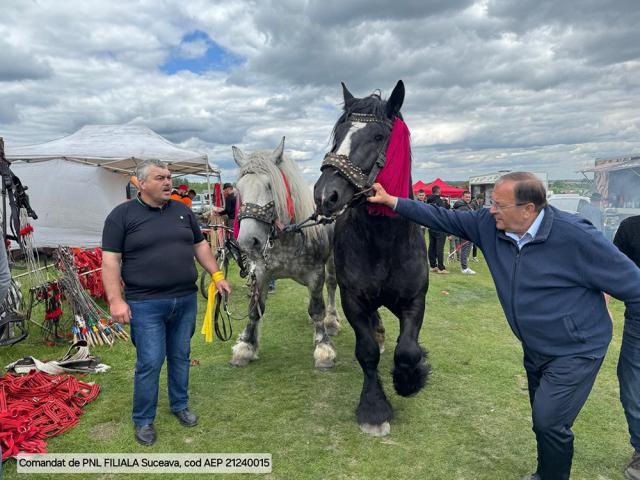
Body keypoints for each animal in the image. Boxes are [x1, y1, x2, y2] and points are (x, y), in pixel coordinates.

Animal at [230, 137, 340, 370]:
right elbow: (254, 309)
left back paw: (331, 321)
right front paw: (246, 346)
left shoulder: (316, 273)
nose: (247, 241)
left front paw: (324, 348)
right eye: (238, 189)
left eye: (270, 185)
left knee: (331, 286)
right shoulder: (260, 273)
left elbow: (317, 308)